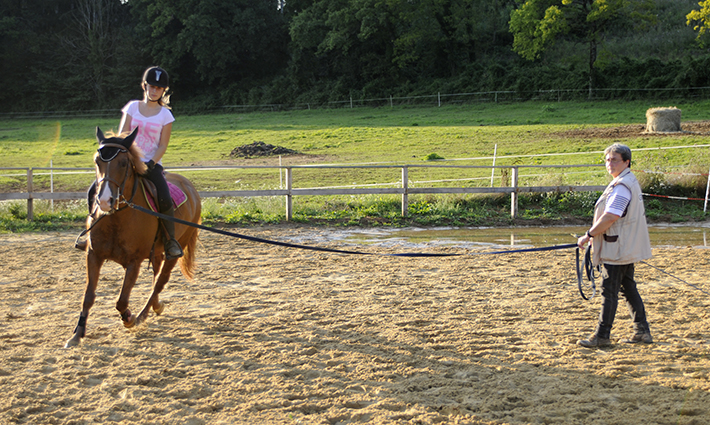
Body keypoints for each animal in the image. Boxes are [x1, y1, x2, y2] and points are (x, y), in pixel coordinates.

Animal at [65, 127, 201, 348]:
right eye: (97, 161)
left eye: (123, 163)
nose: (105, 200)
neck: (117, 218)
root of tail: (190, 186)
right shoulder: (93, 255)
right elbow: (88, 296)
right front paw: (77, 335)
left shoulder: (134, 262)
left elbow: (121, 301)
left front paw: (129, 318)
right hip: (157, 251)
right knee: (156, 275)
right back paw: (155, 306)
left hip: (175, 249)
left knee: (160, 280)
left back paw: (143, 314)